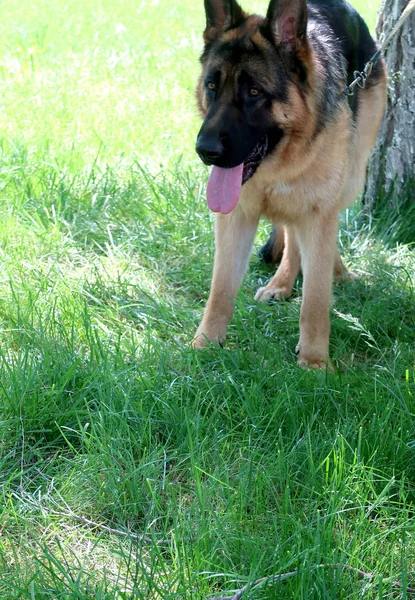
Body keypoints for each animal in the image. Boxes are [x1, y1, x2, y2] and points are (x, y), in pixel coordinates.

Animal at [193, 0, 388, 366]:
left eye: (254, 91)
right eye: (212, 86)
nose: (204, 150)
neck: (279, 166)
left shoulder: (319, 212)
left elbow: (315, 297)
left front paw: (314, 363)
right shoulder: (235, 218)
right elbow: (220, 288)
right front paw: (204, 346)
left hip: (351, 178)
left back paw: (337, 272)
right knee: (293, 235)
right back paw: (281, 283)